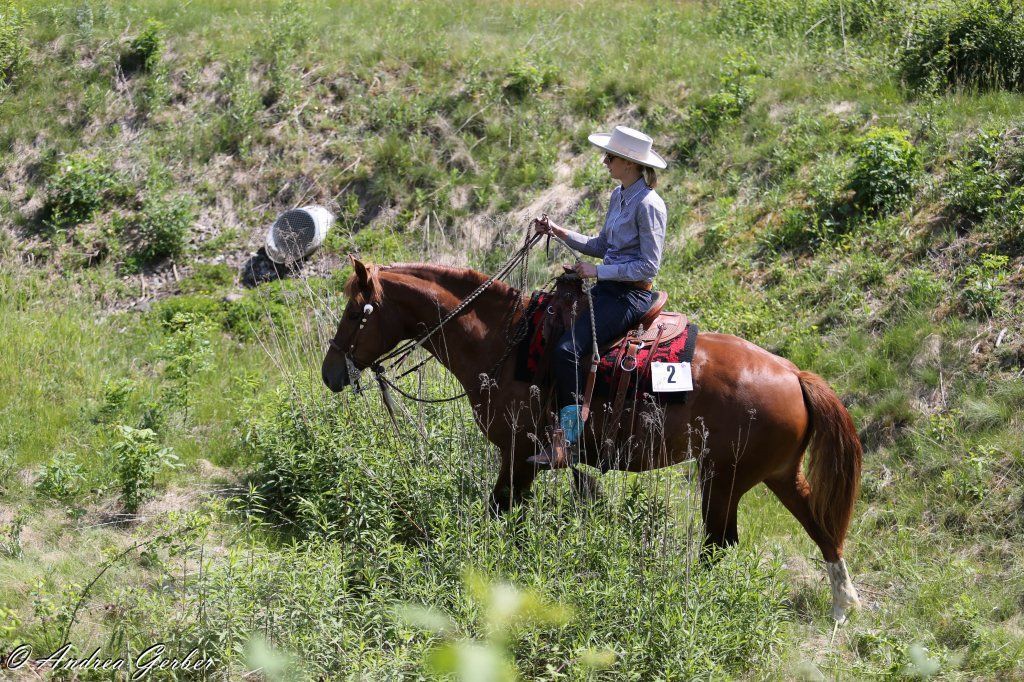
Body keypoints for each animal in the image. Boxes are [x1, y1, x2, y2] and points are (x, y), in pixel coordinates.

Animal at [321, 258, 863, 621]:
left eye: (354, 312)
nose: (330, 373)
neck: (504, 342)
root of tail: (793, 374)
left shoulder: (517, 452)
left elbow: (499, 510)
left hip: (723, 479)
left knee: (720, 542)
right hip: (777, 475)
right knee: (820, 529)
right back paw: (842, 605)